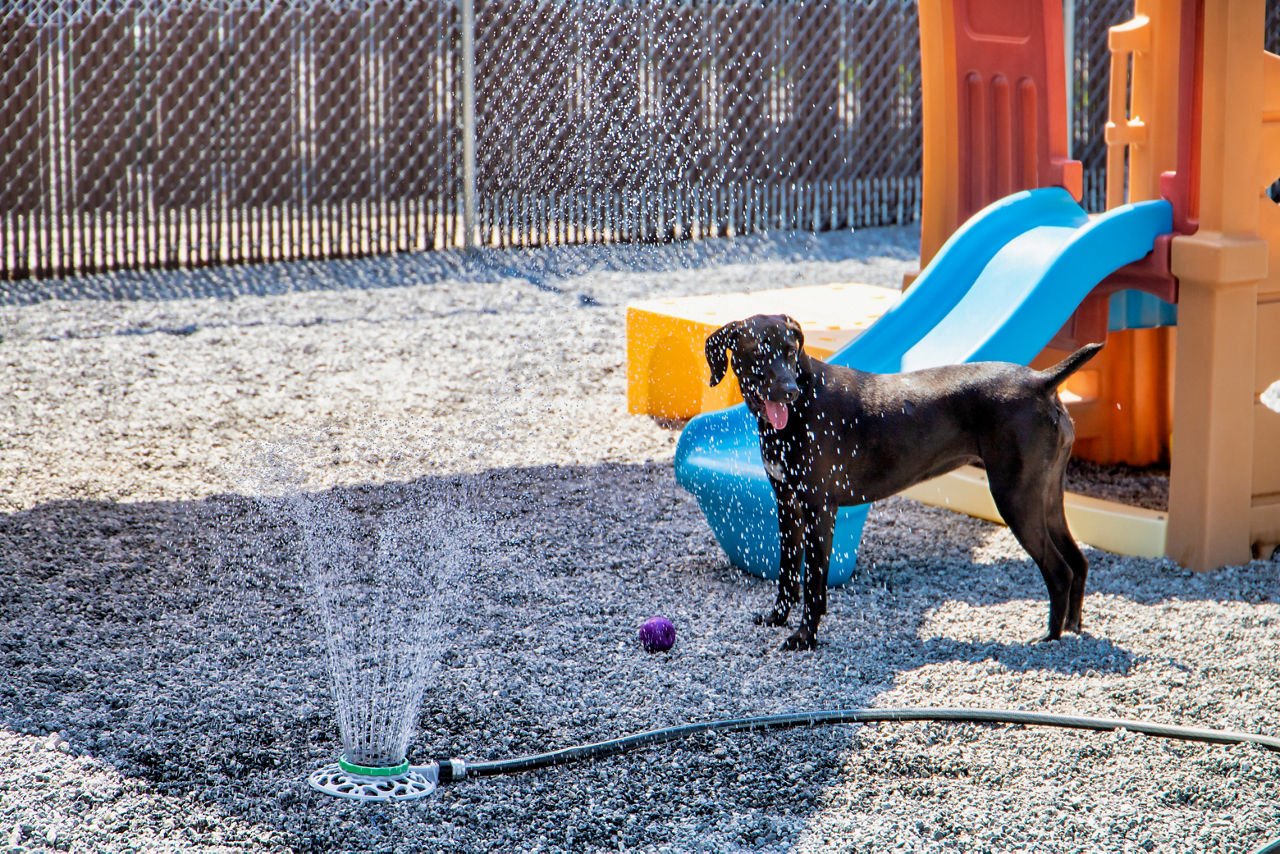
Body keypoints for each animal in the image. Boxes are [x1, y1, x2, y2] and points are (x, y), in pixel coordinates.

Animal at [701, 313, 1100, 647]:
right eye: (758, 352)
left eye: (789, 351)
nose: (788, 391)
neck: (803, 404)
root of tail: (1040, 381)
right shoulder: (787, 506)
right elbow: (787, 575)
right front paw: (778, 619)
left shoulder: (819, 510)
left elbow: (813, 583)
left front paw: (805, 637)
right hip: (1046, 496)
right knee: (1078, 562)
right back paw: (1072, 628)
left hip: (1015, 499)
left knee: (1059, 571)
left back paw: (1049, 638)